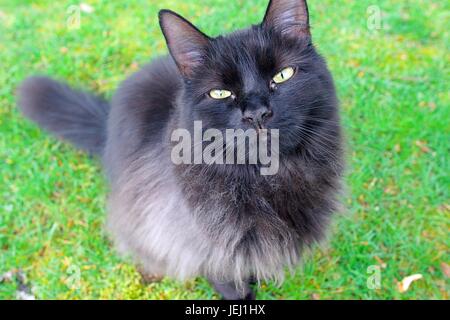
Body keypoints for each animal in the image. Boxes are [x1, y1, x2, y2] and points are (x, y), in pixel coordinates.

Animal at [15, 0, 342, 300]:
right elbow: (226, 276)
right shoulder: (200, 235)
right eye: (220, 93)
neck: (265, 179)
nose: (257, 114)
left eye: (282, 76)